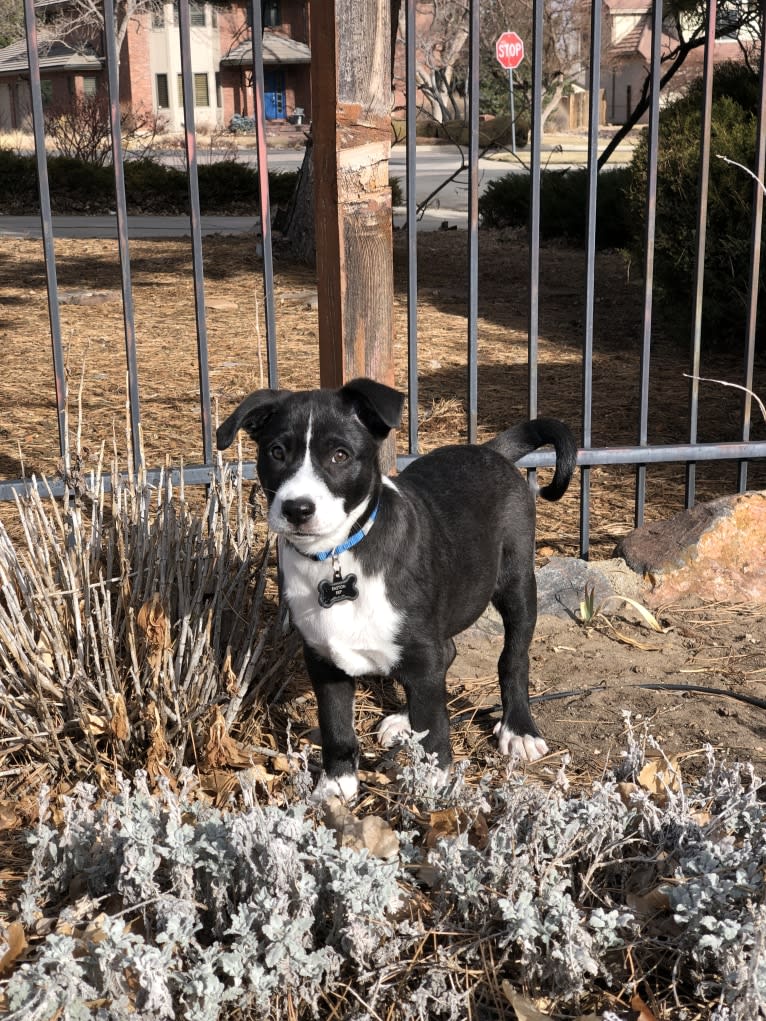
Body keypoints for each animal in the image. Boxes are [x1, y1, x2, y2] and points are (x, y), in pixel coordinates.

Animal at [216, 379, 576, 800]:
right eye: (276, 452)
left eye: (340, 455)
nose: (297, 509)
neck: (337, 555)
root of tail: (490, 450)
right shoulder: (323, 658)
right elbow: (336, 725)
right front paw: (337, 783)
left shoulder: (420, 650)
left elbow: (435, 723)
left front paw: (433, 779)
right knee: (444, 656)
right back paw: (405, 719)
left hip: (517, 582)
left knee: (512, 658)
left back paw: (518, 729)